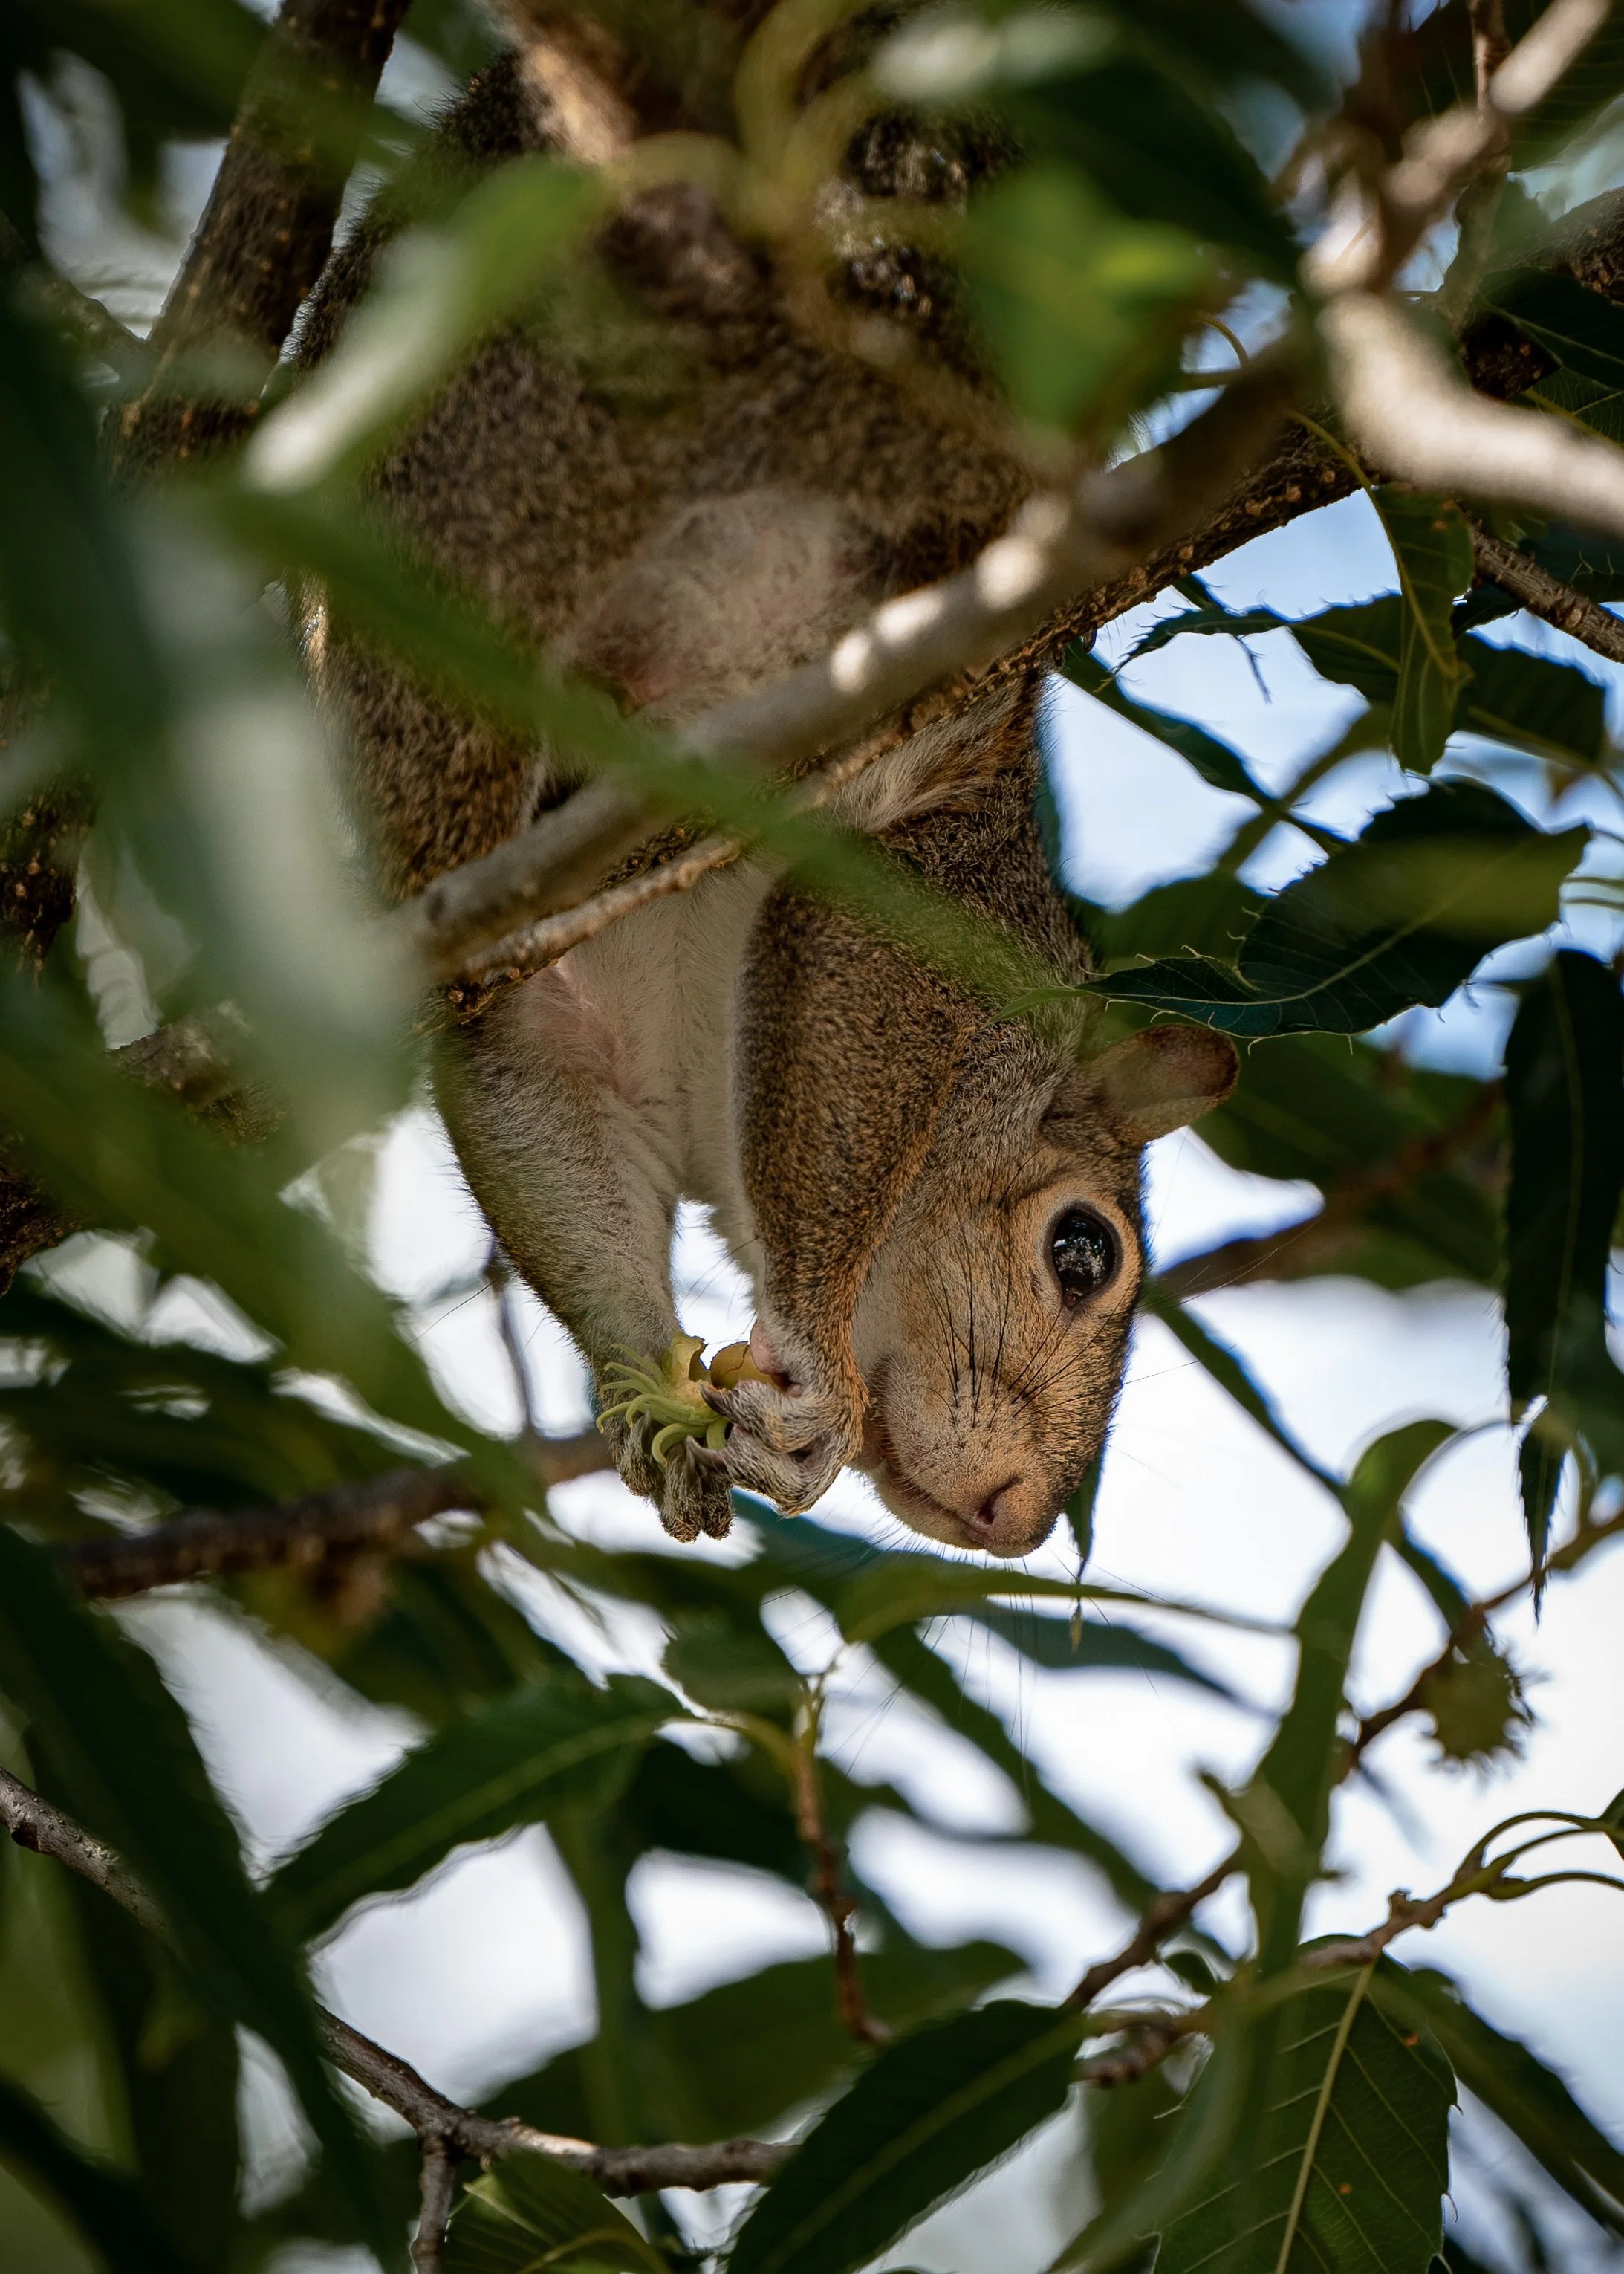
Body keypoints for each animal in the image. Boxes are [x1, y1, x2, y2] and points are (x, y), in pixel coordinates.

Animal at [295, 13, 1239, 1554]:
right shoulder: (933, 893)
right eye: (1082, 1252)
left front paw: (646, 1409)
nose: (1018, 1522)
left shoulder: (585, 1008)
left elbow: (531, 1082)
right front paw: (816, 1389)